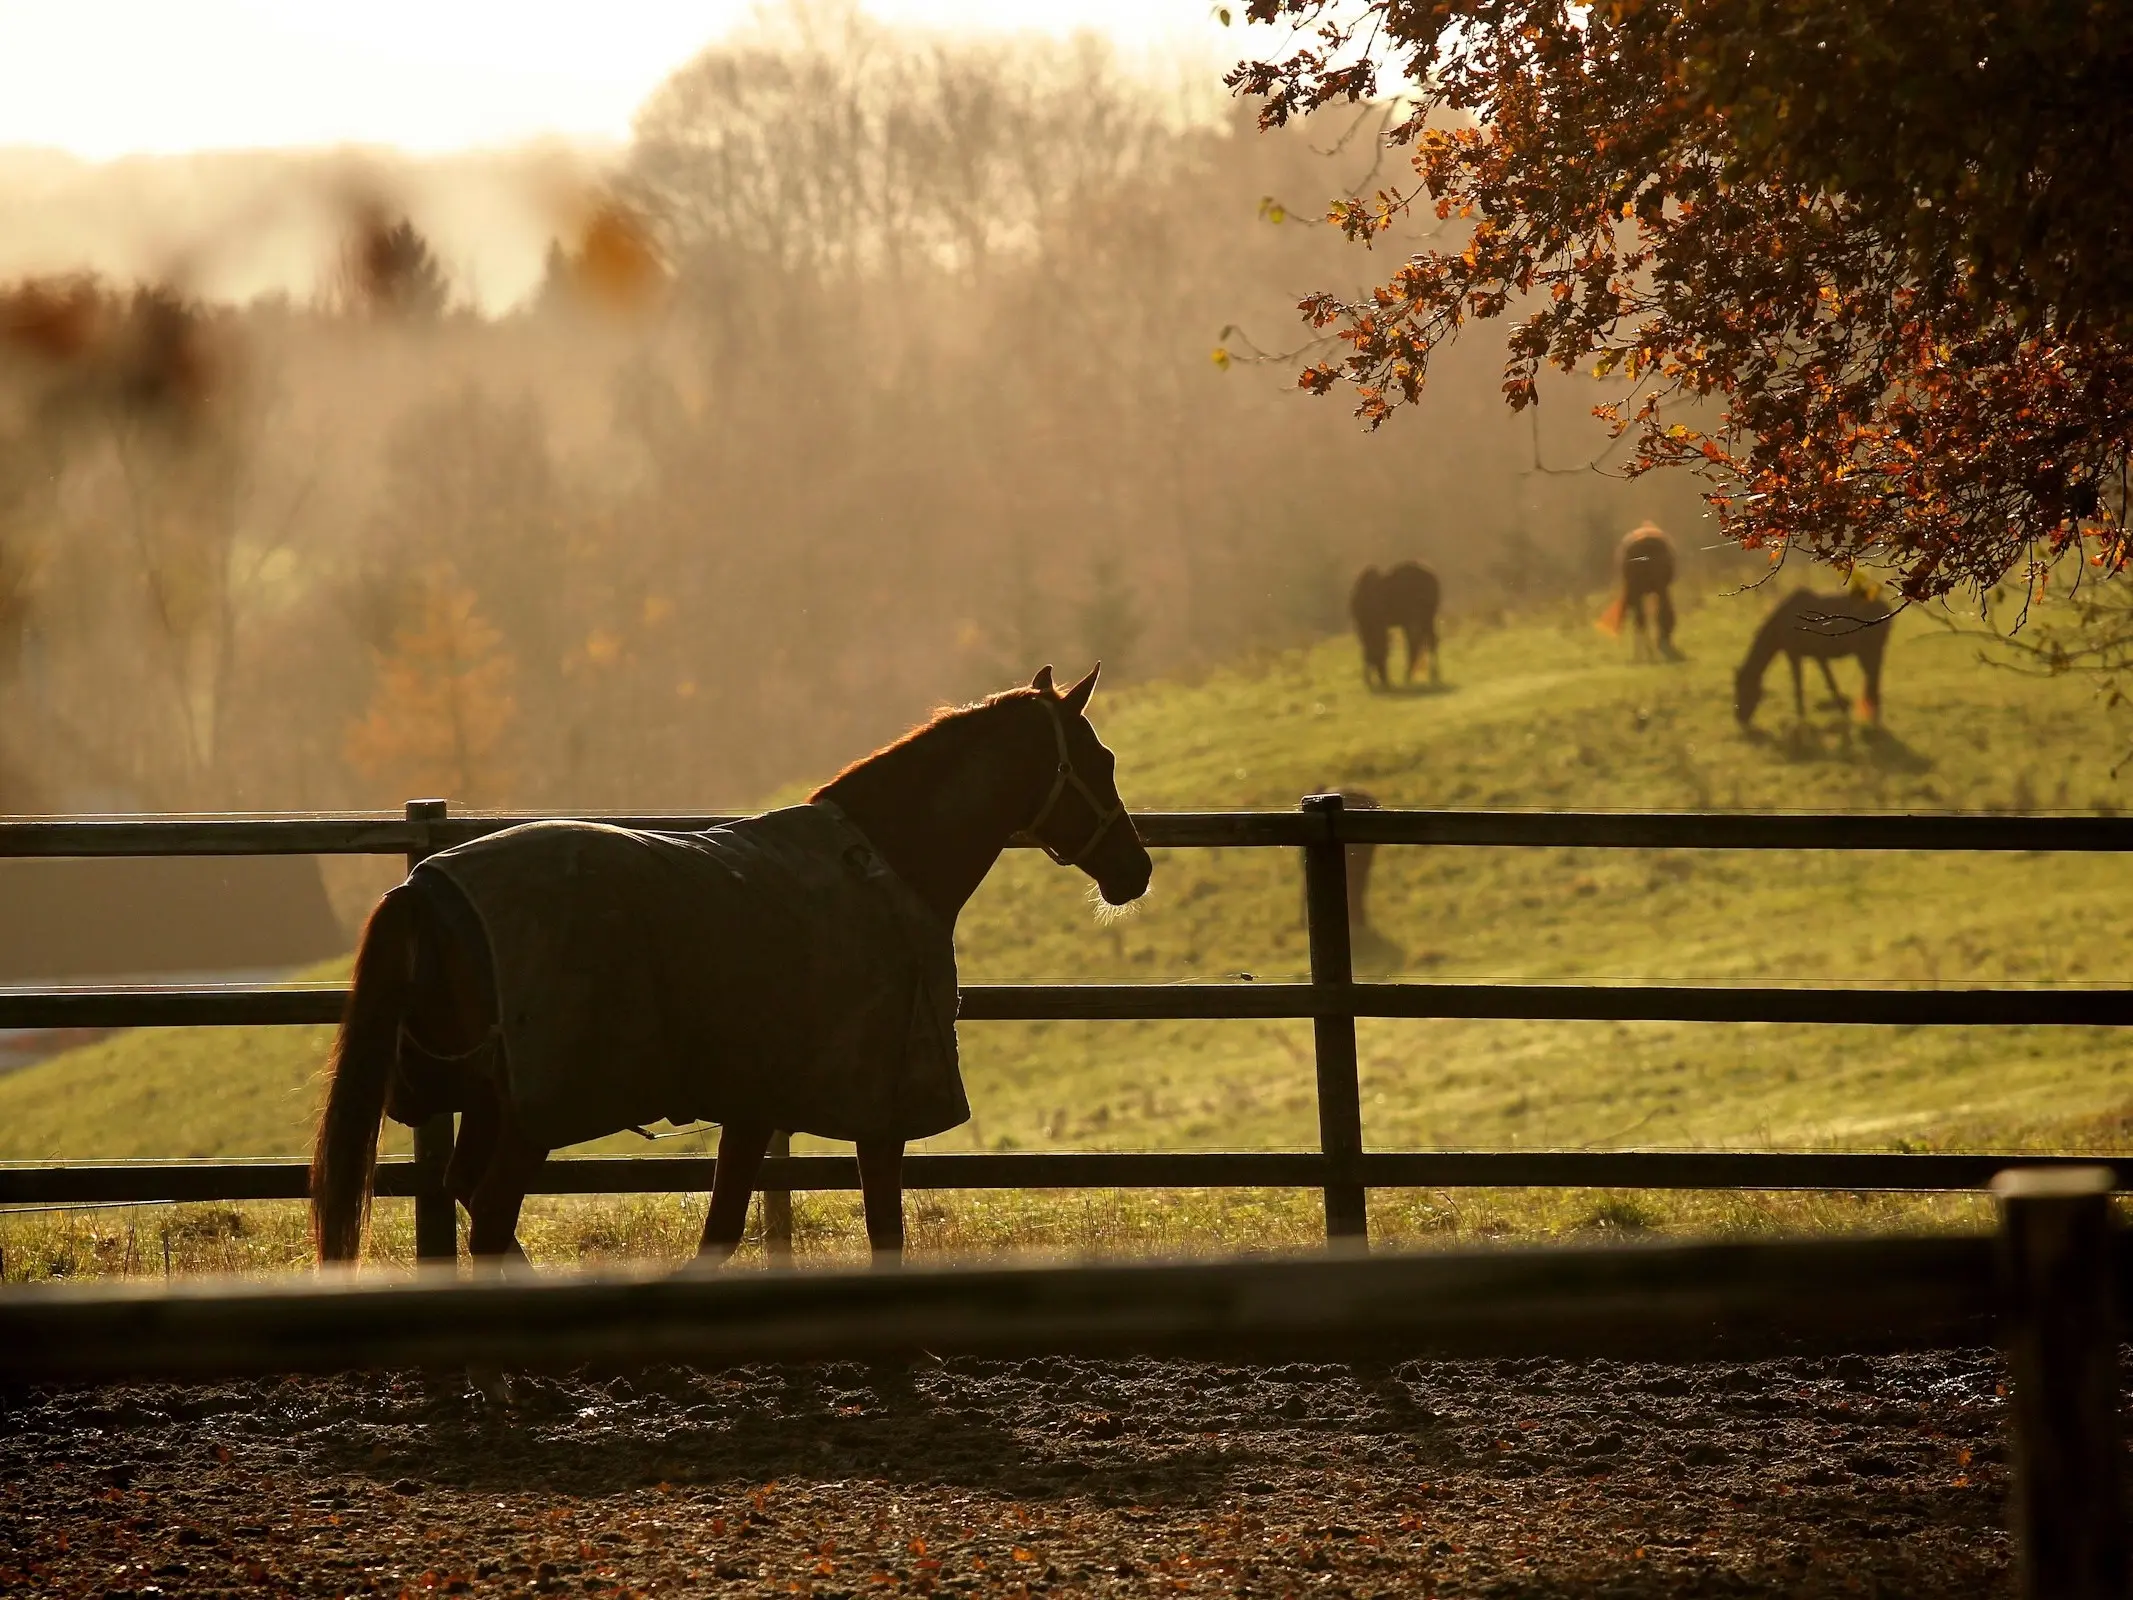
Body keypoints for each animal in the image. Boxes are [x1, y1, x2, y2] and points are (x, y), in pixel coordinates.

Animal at [311, 665, 1151, 1262]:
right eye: (1100, 758)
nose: (1134, 870)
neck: (886, 865)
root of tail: (425, 887)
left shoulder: (755, 1106)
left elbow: (717, 1235)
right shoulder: (880, 1113)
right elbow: (884, 1235)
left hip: (490, 1102)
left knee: (471, 1204)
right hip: (527, 1117)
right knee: (488, 1219)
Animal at [1348, 563, 1450, 691]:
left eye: (1382, 657)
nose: (1384, 680)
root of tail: (1434, 581)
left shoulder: (1378, 626)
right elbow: (1367, 649)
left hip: (1423, 617)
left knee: (1422, 642)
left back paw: (1419, 676)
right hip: (1422, 618)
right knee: (1425, 641)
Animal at [1604, 522, 1680, 661]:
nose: (1666, 644)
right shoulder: (1658, 589)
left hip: (1637, 590)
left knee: (1640, 619)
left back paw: (1644, 654)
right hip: (1644, 589)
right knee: (1642, 619)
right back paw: (1646, 654)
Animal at [1740, 588, 1894, 725]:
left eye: (1743, 687)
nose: (1740, 717)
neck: (1781, 626)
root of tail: (1887, 610)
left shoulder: (1796, 654)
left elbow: (1801, 685)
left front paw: (1802, 717)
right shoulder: (1816, 656)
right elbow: (1828, 681)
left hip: (1869, 652)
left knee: (1873, 682)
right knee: (1873, 682)